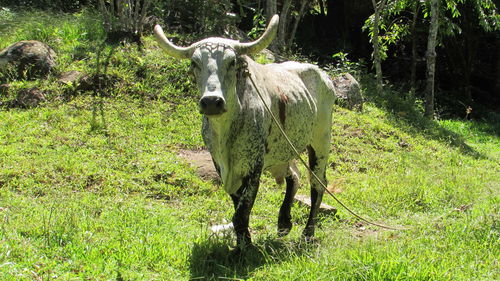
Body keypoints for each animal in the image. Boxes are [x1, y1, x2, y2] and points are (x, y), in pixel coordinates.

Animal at [153, 14, 336, 248]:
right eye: (195, 63)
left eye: (232, 62)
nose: (211, 102)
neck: (226, 132)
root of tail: (323, 76)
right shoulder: (220, 164)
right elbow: (238, 205)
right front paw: (244, 241)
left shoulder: (253, 166)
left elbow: (241, 212)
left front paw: (243, 247)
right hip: (283, 149)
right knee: (293, 176)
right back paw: (284, 223)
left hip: (321, 142)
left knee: (317, 183)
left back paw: (307, 232)